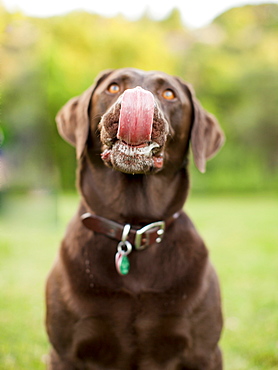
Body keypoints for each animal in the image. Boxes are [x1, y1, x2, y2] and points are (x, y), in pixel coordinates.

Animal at [45, 68, 224, 368]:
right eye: (113, 87)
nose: (138, 99)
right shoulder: (64, 354)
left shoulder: (204, 352)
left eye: (169, 93)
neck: (132, 226)